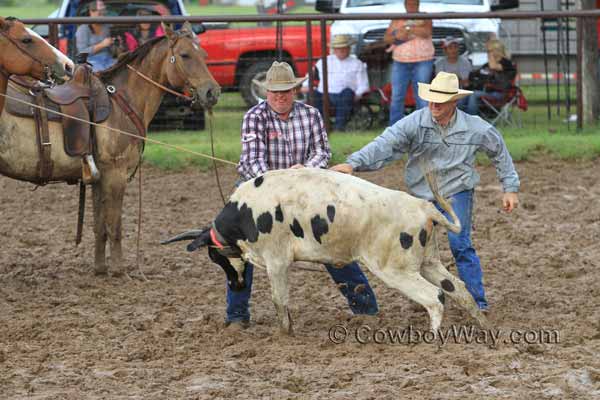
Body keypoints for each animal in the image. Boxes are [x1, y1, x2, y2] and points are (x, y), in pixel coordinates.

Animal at [0, 21, 220, 276]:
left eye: (203, 55)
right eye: (185, 55)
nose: (212, 92)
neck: (122, 102)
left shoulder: (99, 177)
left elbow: (100, 225)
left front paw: (100, 268)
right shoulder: (116, 174)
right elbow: (114, 224)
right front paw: (118, 269)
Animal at [162, 167, 490, 332]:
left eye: (216, 258)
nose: (236, 285)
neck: (247, 212)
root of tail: (425, 208)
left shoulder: (277, 261)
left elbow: (279, 300)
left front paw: (285, 333)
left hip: (396, 270)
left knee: (434, 297)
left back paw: (432, 339)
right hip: (428, 263)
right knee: (459, 289)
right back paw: (483, 326)